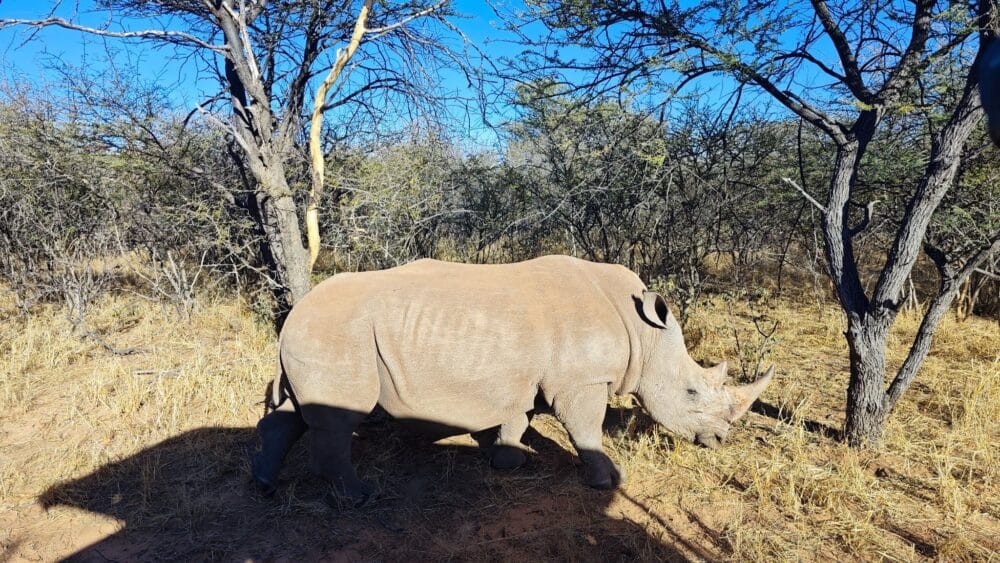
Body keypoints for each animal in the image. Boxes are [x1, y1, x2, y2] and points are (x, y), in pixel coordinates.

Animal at [253, 255, 773, 503]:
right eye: (691, 392)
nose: (720, 439)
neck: (643, 332)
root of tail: (295, 312)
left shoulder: (527, 375)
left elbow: (517, 417)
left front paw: (508, 462)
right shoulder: (581, 381)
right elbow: (586, 429)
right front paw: (608, 482)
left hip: (320, 332)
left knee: (296, 413)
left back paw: (263, 487)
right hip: (338, 331)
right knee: (338, 419)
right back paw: (360, 499)